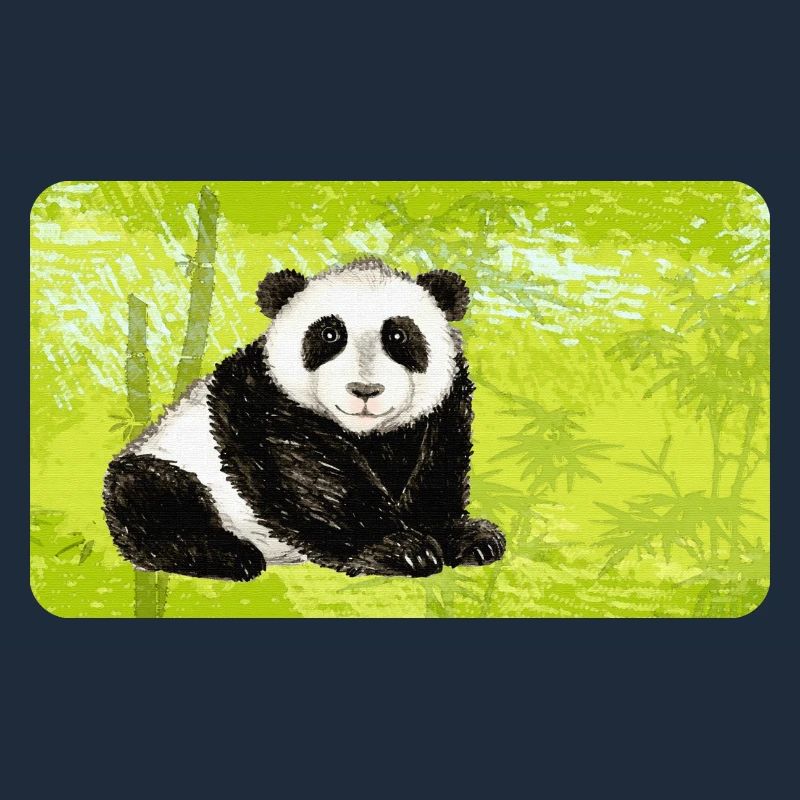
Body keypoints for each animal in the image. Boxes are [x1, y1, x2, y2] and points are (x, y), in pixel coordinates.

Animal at [103, 256, 506, 581]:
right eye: (329, 334)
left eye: (398, 335)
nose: (365, 391)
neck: (367, 435)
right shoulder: (262, 402)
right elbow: (309, 477)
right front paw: (399, 548)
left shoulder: (443, 409)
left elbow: (438, 468)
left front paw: (467, 538)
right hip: (175, 463)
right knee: (150, 496)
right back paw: (229, 556)